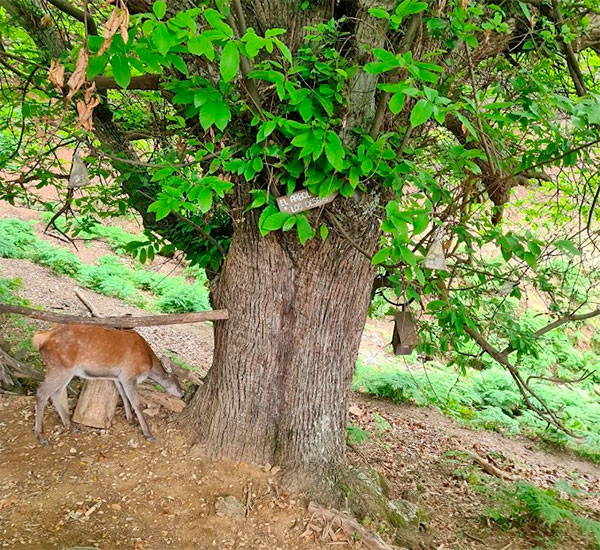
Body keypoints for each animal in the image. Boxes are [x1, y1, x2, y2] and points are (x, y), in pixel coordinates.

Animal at [32, 326, 183, 446]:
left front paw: (131, 420)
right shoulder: (129, 374)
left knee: (55, 394)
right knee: (42, 393)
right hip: (59, 367)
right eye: (177, 382)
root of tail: (40, 339)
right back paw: (41, 436)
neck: (148, 363)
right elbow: (137, 403)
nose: (182, 394)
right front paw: (148, 434)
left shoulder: (117, 377)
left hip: (63, 370)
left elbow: (123, 396)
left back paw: (71, 426)